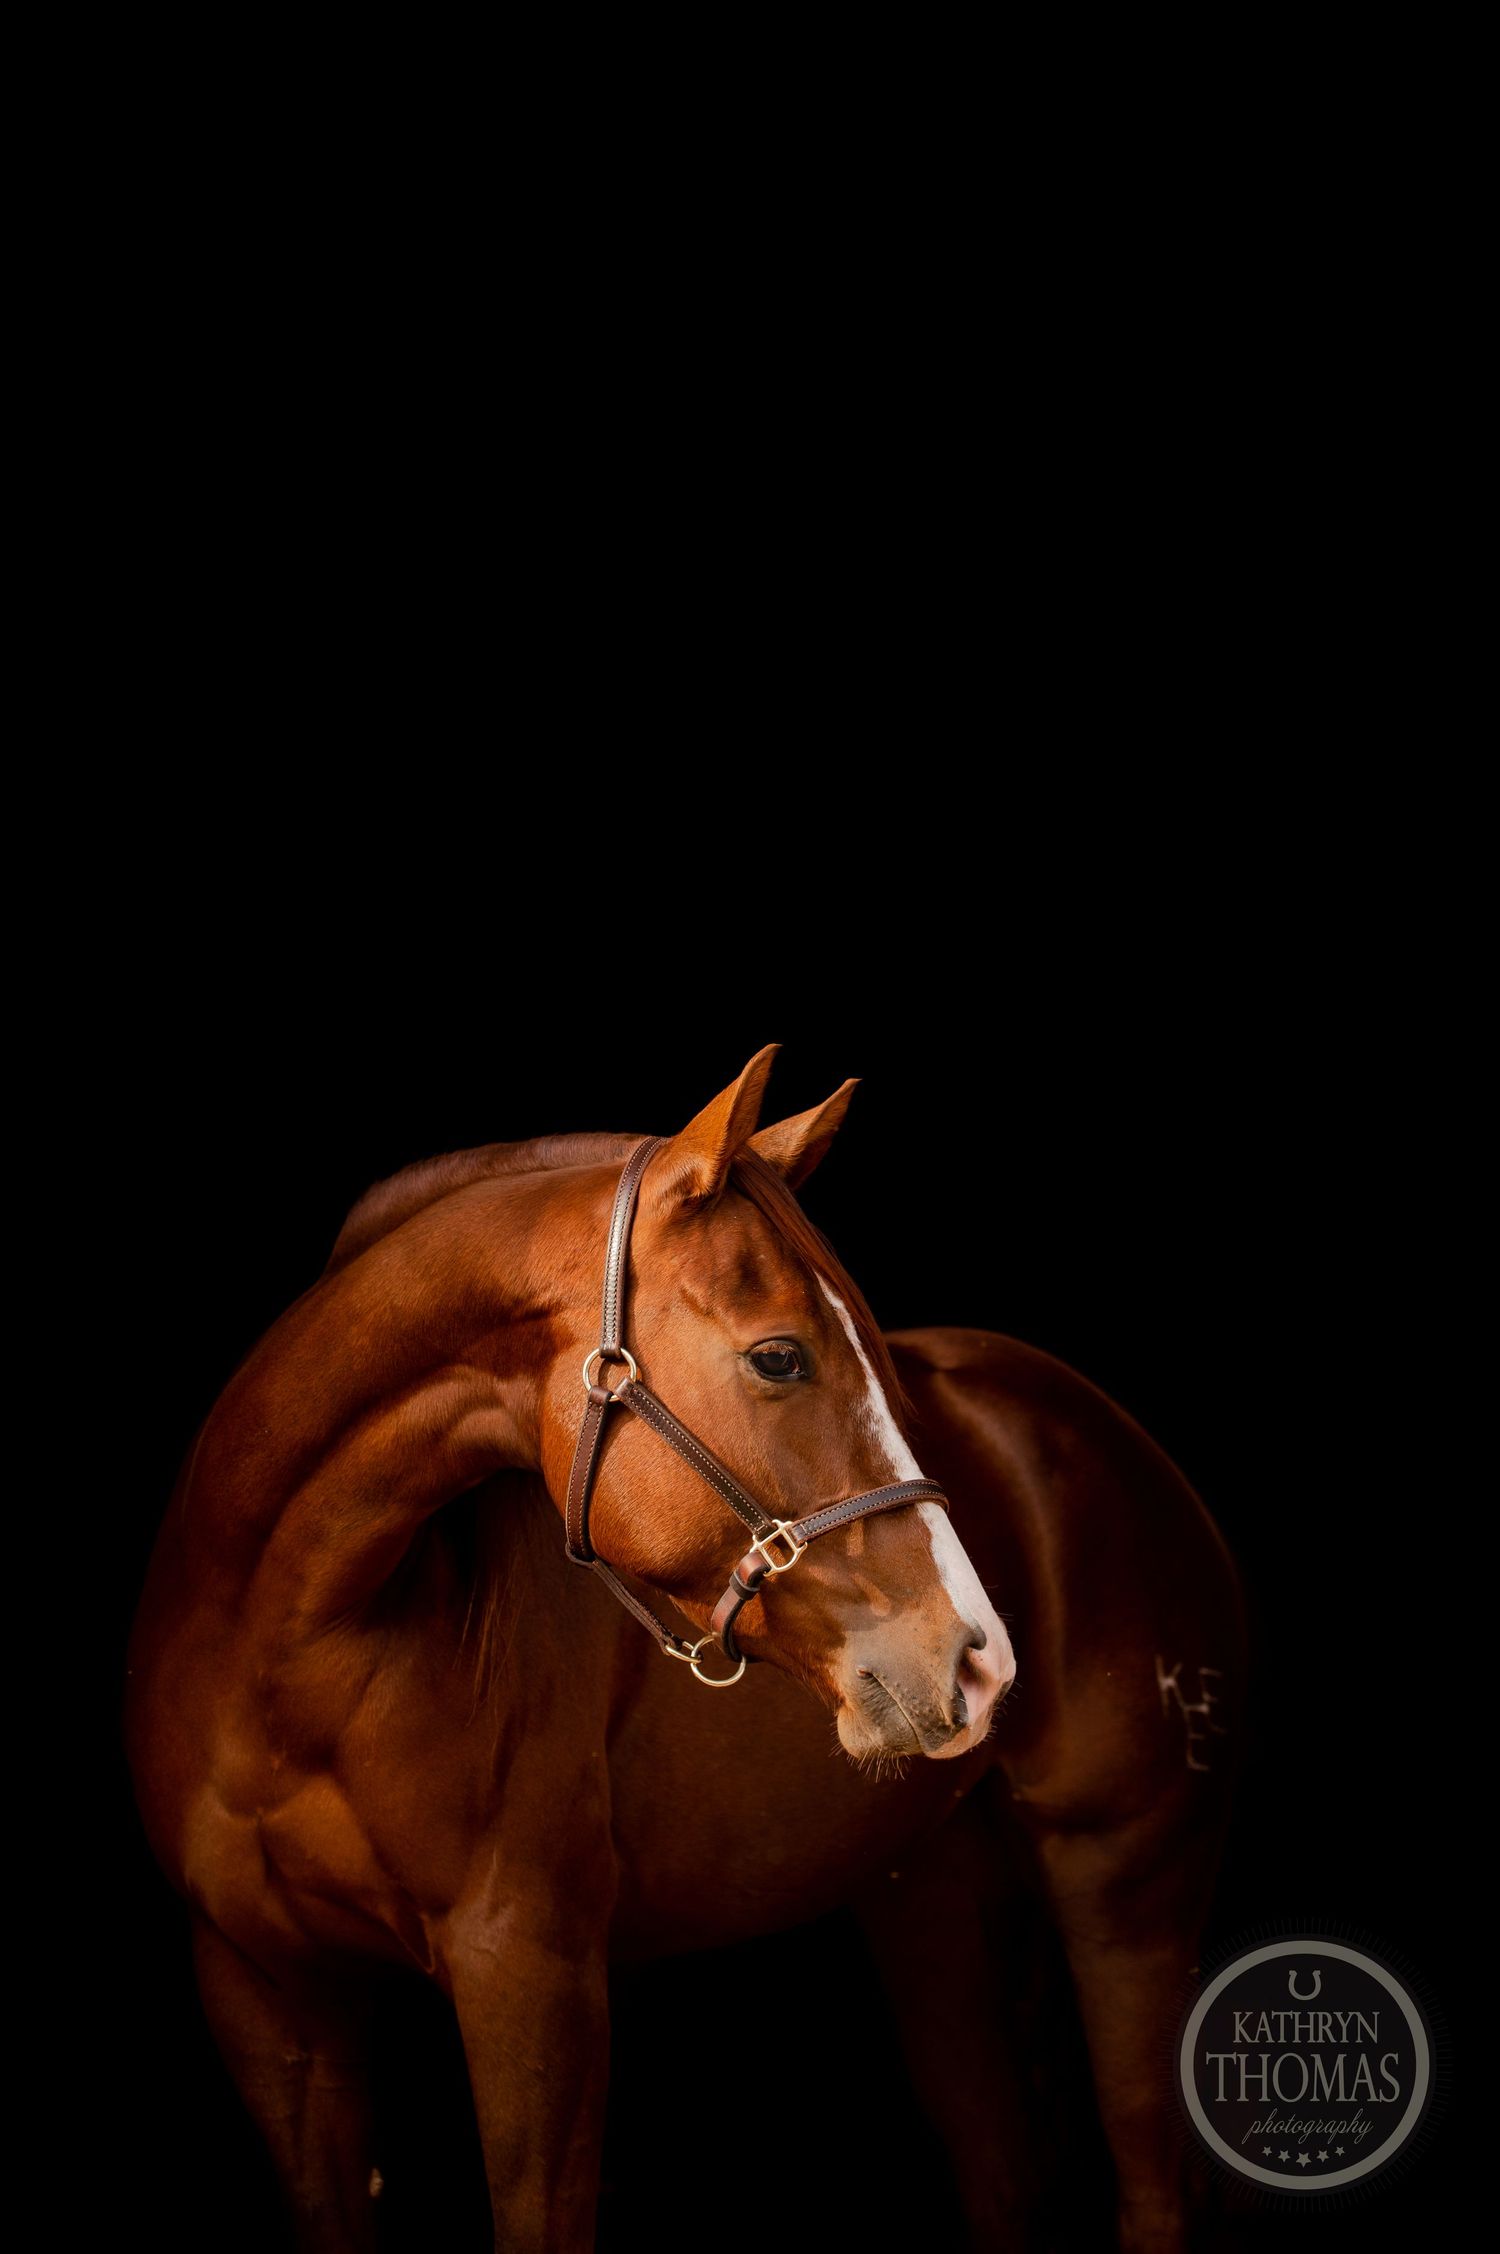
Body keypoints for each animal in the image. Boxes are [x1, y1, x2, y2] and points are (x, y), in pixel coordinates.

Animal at [124, 1045, 1246, 2252]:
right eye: (779, 1356)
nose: (976, 1660)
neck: (290, 1655)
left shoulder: (531, 1977)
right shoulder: (267, 1998)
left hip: (1128, 1886)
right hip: (932, 1896)